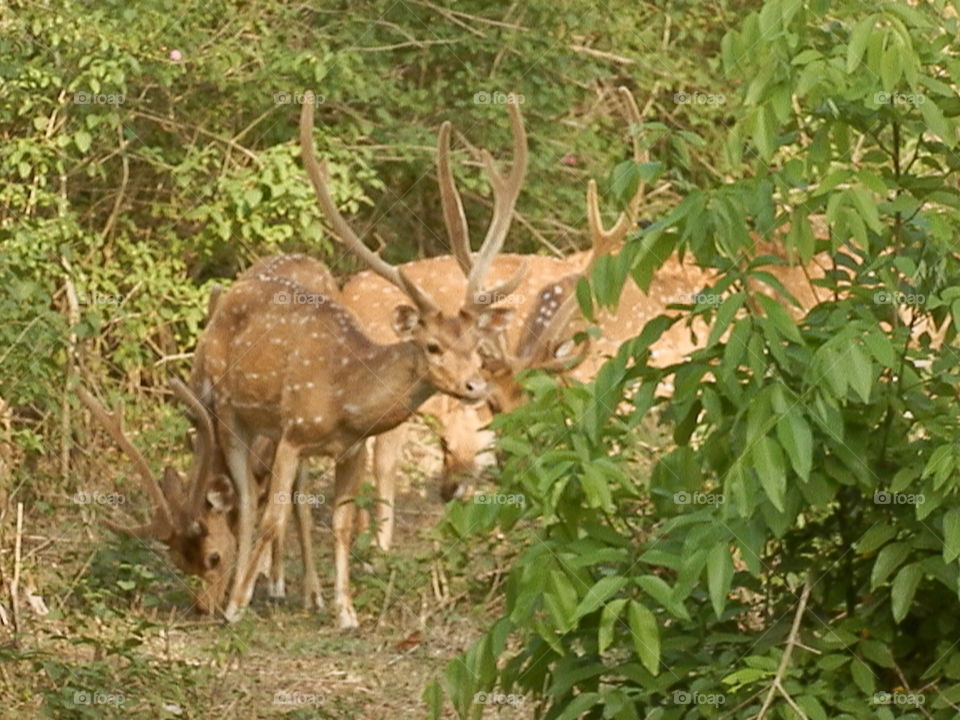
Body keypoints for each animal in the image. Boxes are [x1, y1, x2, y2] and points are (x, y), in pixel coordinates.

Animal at [193, 90, 526, 628]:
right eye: (432, 346)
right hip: (227, 407)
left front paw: (345, 611)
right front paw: (236, 607)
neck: (344, 395)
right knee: (243, 501)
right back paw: (239, 593)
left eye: (475, 346)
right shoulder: (294, 432)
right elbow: (271, 518)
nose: (475, 386)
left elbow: (343, 523)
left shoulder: (351, 449)